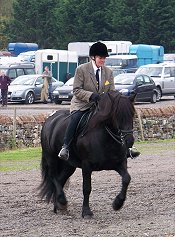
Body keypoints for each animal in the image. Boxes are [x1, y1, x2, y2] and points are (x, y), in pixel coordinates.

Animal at [39, 90, 135, 218]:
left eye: (132, 114)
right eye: (117, 115)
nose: (129, 141)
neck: (105, 137)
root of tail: (50, 119)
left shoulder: (119, 163)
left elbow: (126, 179)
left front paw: (117, 203)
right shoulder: (87, 166)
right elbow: (87, 188)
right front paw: (86, 211)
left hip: (69, 165)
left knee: (60, 179)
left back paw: (59, 205)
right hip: (52, 158)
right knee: (53, 176)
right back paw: (62, 201)